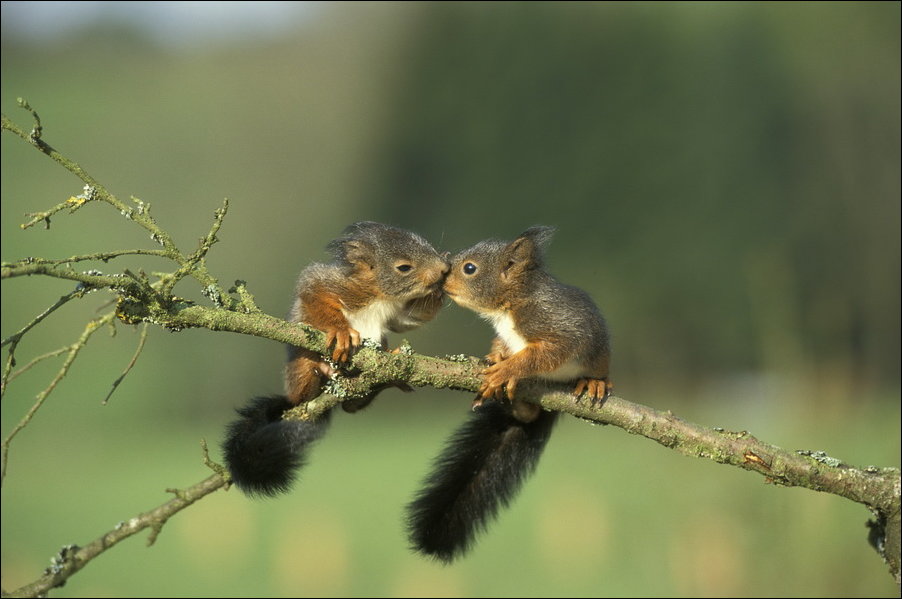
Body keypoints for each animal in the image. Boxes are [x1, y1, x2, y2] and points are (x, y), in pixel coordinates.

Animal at [224, 223, 450, 500]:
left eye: (429, 247)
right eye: (404, 267)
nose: (444, 268)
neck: (379, 295)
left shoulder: (399, 314)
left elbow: (411, 319)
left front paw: (441, 289)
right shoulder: (331, 284)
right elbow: (312, 291)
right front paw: (340, 331)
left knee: (352, 406)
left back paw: (386, 380)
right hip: (300, 367)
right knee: (305, 395)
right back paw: (316, 379)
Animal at [408, 225, 616, 564]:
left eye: (469, 268)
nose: (441, 279)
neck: (509, 306)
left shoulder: (556, 325)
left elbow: (543, 354)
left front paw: (506, 370)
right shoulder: (507, 334)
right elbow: (503, 346)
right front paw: (495, 359)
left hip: (598, 359)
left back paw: (594, 382)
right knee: (527, 414)